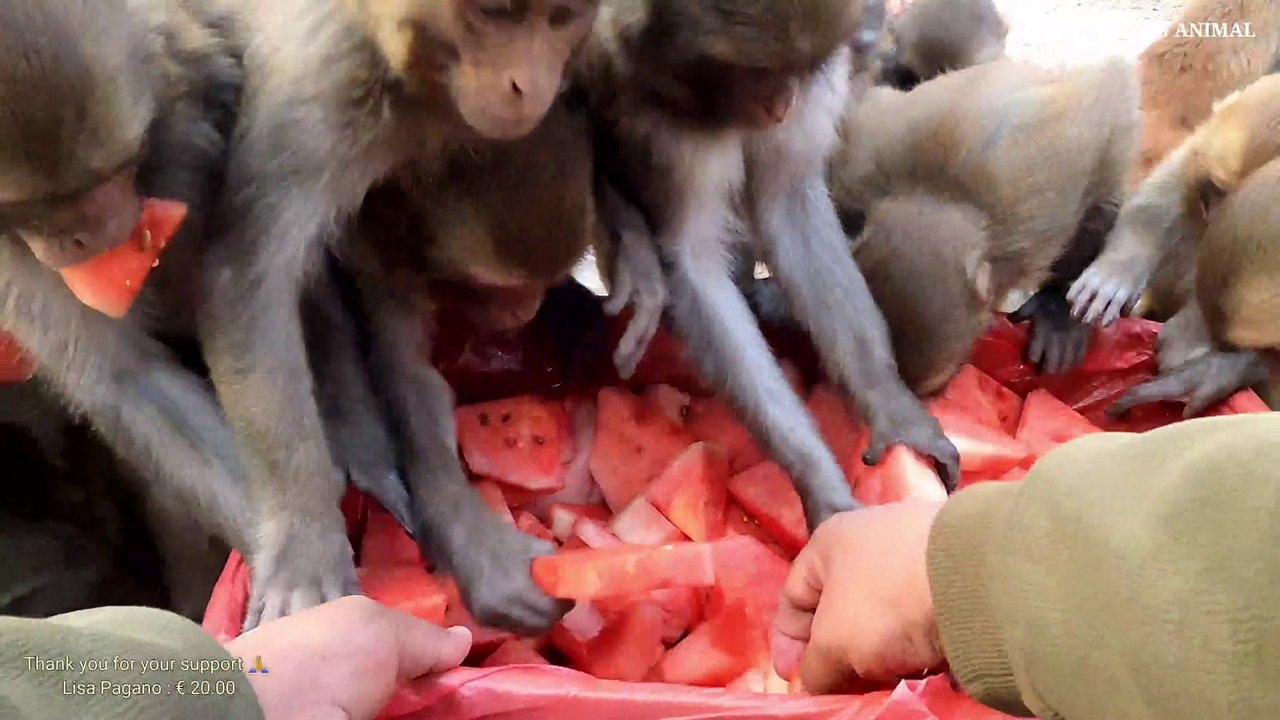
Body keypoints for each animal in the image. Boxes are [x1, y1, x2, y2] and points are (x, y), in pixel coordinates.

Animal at [195, 0, 599, 631]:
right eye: (491, 15)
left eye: (563, 19)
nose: (527, 308)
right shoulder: (324, 105)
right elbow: (248, 277)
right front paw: (304, 544)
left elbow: (409, 374)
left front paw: (467, 536)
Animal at [575, 0, 962, 534]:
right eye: (756, 72)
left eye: (799, 70)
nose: (782, 104)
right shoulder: (669, 125)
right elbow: (693, 261)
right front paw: (819, 482)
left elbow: (789, 202)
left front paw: (890, 403)